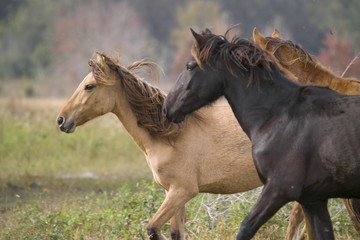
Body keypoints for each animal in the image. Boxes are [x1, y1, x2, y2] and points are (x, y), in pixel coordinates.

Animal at [56, 52, 264, 240]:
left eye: (89, 86)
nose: (61, 120)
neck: (170, 134)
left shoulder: (182, 191)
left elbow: (153, 228)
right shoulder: (171, 191)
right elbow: (175, 233)